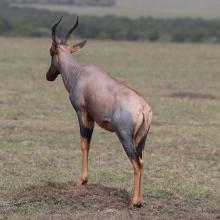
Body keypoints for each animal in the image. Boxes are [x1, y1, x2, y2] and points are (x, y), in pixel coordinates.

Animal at [46, 16, 153, 207]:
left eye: (51, 51)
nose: (49, 75)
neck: (80, 73)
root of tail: (143, 108)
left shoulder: (83, 113)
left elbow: (84, 143)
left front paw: (81, 180)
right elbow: (88, 144)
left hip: (125, 136)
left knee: (136, 163)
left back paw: (134, 202)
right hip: (141, 138)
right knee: (141, 160)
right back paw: (140, 199)